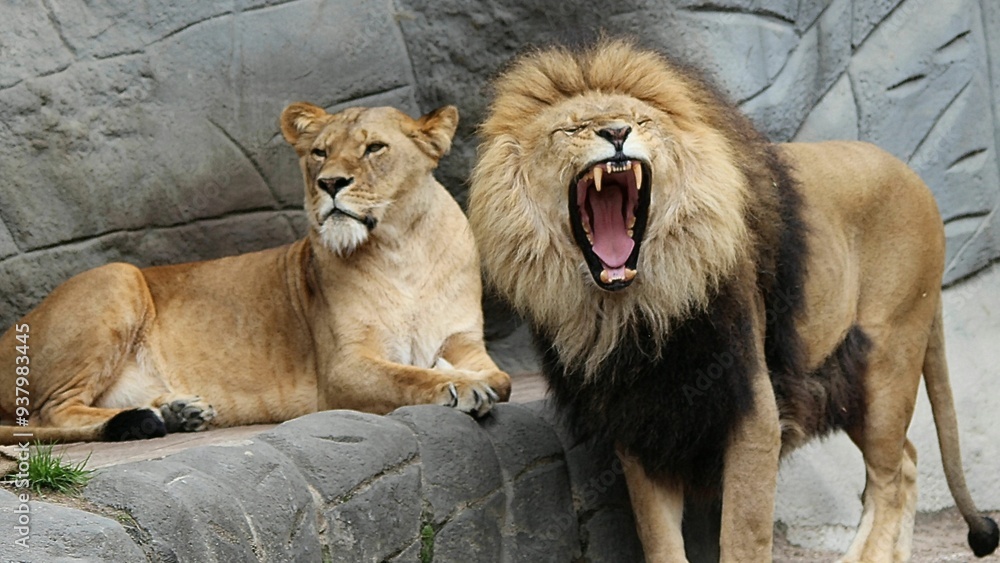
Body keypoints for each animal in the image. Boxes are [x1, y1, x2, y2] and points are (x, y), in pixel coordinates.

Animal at [0, 102, 510, 444]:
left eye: (374, 148)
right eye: (320, 153)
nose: (330, 183)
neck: (404, 250)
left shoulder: (466, 341)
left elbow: (501, 379)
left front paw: (466, 377)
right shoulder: (342, 369)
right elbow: (410, 377)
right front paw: (459, 386)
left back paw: (178, 411)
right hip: (116, 277)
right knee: (49, 415)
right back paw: (144, 421)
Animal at [468, 39, 998, 562]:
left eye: (642, 121)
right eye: (572, 128)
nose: (616, 132)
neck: (636, 311)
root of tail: (915, 178)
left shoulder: (753, 406)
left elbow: (743, 533)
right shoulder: (640, 420)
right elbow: (659, 537)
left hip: (886, 358)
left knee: (891, 478)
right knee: (907, 461)